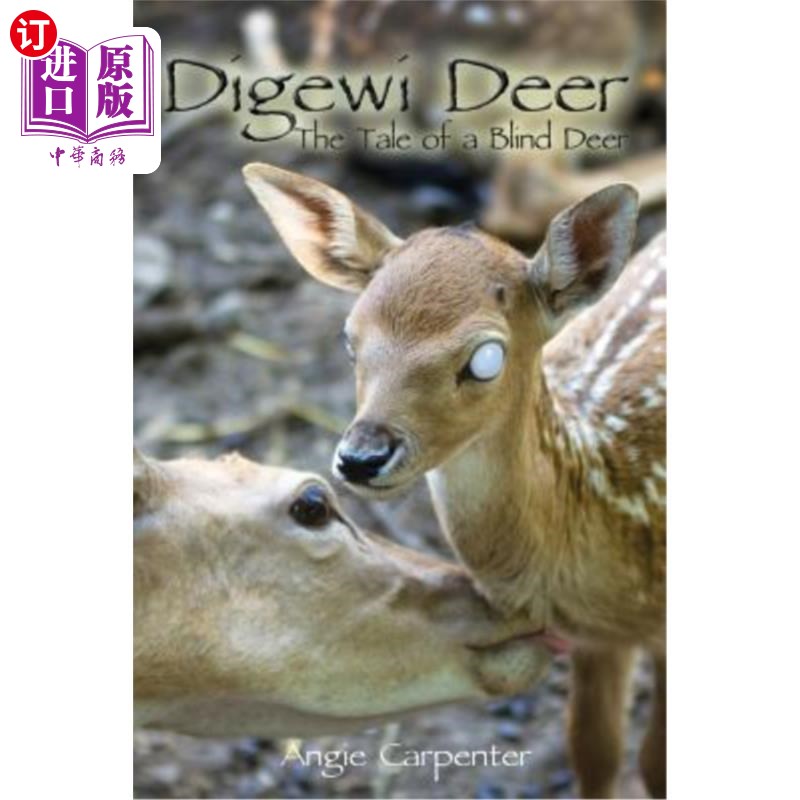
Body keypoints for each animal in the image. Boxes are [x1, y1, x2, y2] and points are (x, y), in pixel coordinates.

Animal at [243, 162, 666, 798]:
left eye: (485, 358)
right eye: (349, 338)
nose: (362, 457)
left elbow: (652, 762)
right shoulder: (597, 640)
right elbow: (593, 753)